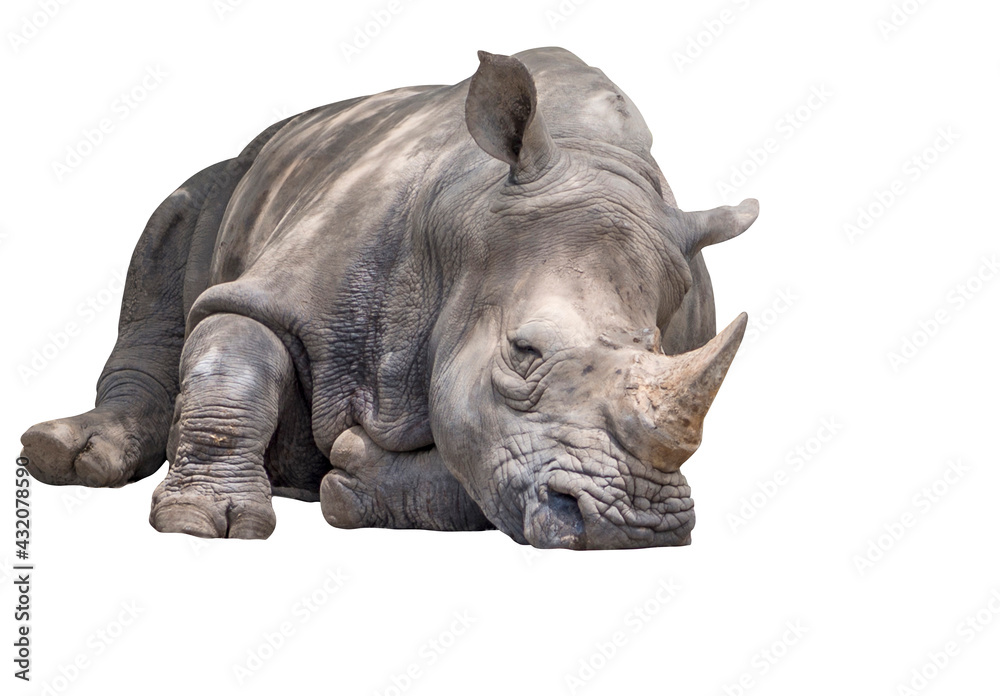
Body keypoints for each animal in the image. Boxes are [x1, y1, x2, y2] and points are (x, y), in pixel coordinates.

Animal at [20, 47, 758, 550]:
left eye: (658, 349)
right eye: (522, 351)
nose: (638, 524)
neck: (465, 226)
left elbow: (475, 472)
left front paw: (349, 482)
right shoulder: (284, 285)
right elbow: (232, 360)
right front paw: (203, 524)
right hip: (235, 171)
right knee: (169, 224)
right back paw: (64, 455)